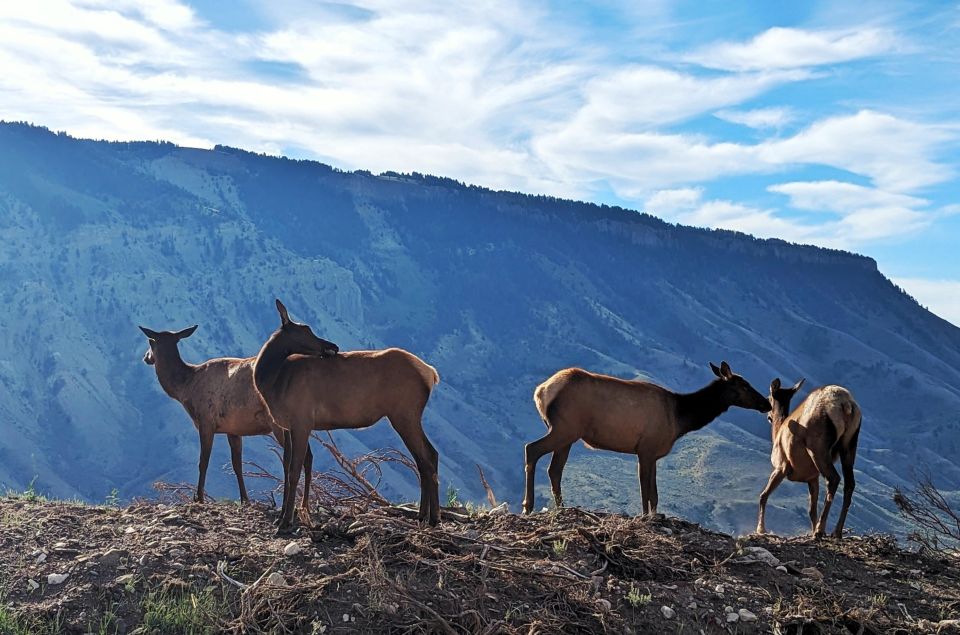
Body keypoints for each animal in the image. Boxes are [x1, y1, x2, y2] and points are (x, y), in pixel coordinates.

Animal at [139, 326, 316, 510]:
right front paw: (245, 499)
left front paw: (199, 497)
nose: (145, 357)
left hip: (279, 424)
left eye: (150, 343)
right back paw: (304, 504)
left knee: (300, 457)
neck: (185, 388)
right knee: (308, 455)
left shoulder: (206, 421)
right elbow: (237, 465)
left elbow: (203, 462)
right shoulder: (233, 429)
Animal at [251, 300, 438, 536]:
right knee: (427, 456)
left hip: (405, 414)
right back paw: (423, 516)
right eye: (306, 330)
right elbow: (286, 469)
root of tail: (431, 373)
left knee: (426, 458)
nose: (333, 346)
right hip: (409, 416)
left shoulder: (302, 421)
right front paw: (283, 518)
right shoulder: (286, 426)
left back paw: (434, 519)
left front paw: (286, 522)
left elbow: (294, 470)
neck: (271, 381)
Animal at [524, 362, 772, 516]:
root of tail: (540, 391)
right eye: (744, 385)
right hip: (565, 428)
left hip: (568, 435)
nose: (766, 404)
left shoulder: (653, 455)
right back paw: (528, 506)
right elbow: (645, 490)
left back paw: (561, 507)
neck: (680, 418)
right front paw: (644, 516)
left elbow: (655, 494)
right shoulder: (646, 449)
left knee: (554, 469)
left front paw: (654, 515)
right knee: (531, 449)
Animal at [756, 380, 864, 540]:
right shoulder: (812, 477)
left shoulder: (781, 466)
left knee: (833, 479)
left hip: (817, 447)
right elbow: (811, 509)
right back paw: (836, 532)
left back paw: (821, 530)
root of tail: (846, 405)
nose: (767, 414)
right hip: (850, 444)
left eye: (769, 397)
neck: (777, 433)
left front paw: (761, 529)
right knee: (849, 483)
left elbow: (763, 495)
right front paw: (812, 530)